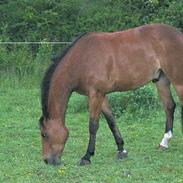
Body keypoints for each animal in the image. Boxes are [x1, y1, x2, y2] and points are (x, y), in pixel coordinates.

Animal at [39, 24, 183, 166]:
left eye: (45, 134)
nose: (48, 160)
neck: (82, 59)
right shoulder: (101, 95)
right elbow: (111, 121)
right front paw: (121, 150)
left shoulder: (95, 95)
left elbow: (93, 125)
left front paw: (87, 157)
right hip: (161, 80)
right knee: (169, 106)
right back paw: (164, 142)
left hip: (178, 82)